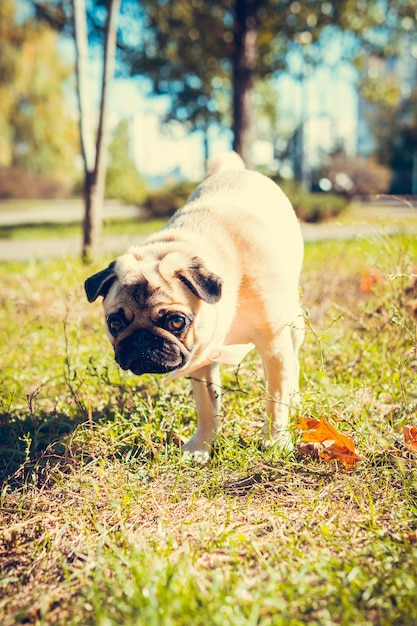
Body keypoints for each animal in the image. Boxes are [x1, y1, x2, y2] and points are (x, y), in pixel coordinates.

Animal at [85, 152, 306, 458]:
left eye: (176, 321)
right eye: (115, 323)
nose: (142, 339)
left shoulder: (274, 348)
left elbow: (275, 399)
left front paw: (275, 440)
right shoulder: (202, 357)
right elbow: (206, 405)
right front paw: (202, 446)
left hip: (294, 325)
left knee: (293, 366)